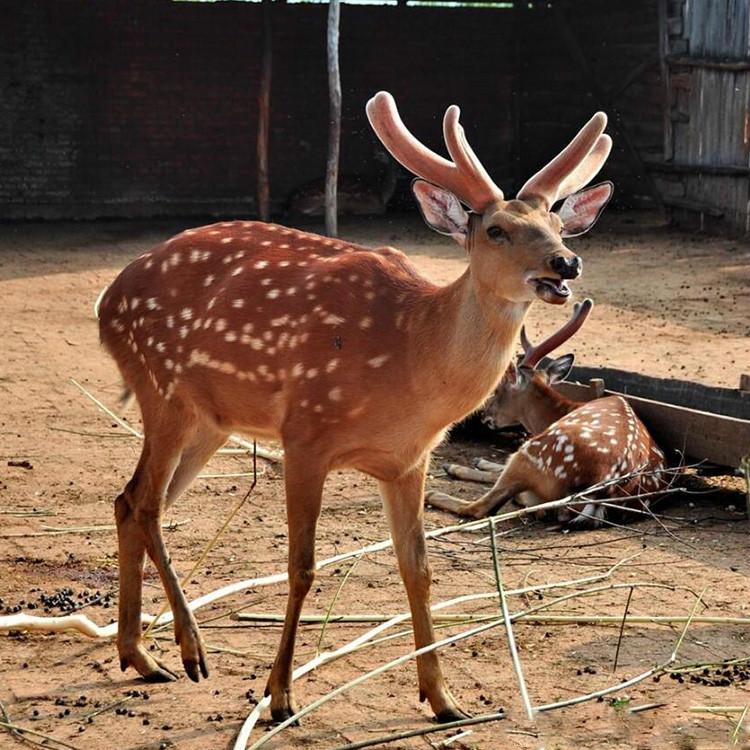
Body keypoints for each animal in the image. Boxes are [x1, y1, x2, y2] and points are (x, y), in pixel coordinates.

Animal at [98, 91, 616, 724]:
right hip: (163, 390)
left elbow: (418, 569)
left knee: (129, 501)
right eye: (497, 229)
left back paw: (139, 656)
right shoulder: (305, 434)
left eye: (559, 225)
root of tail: (106, 302)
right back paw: (189, 650)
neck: (410, 357)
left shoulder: (409, 460)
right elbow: (301, 567)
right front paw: (279, 695)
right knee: (147, 505)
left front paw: (444, 699)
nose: (566, 264)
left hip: (209, 421)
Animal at [426, 302, 668, 528]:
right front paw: (481, 461)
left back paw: (437, 489)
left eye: (498, 390)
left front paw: (468, 465)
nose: (485, 416)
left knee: (481, 506)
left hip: (533, 452)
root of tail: (604, 489)